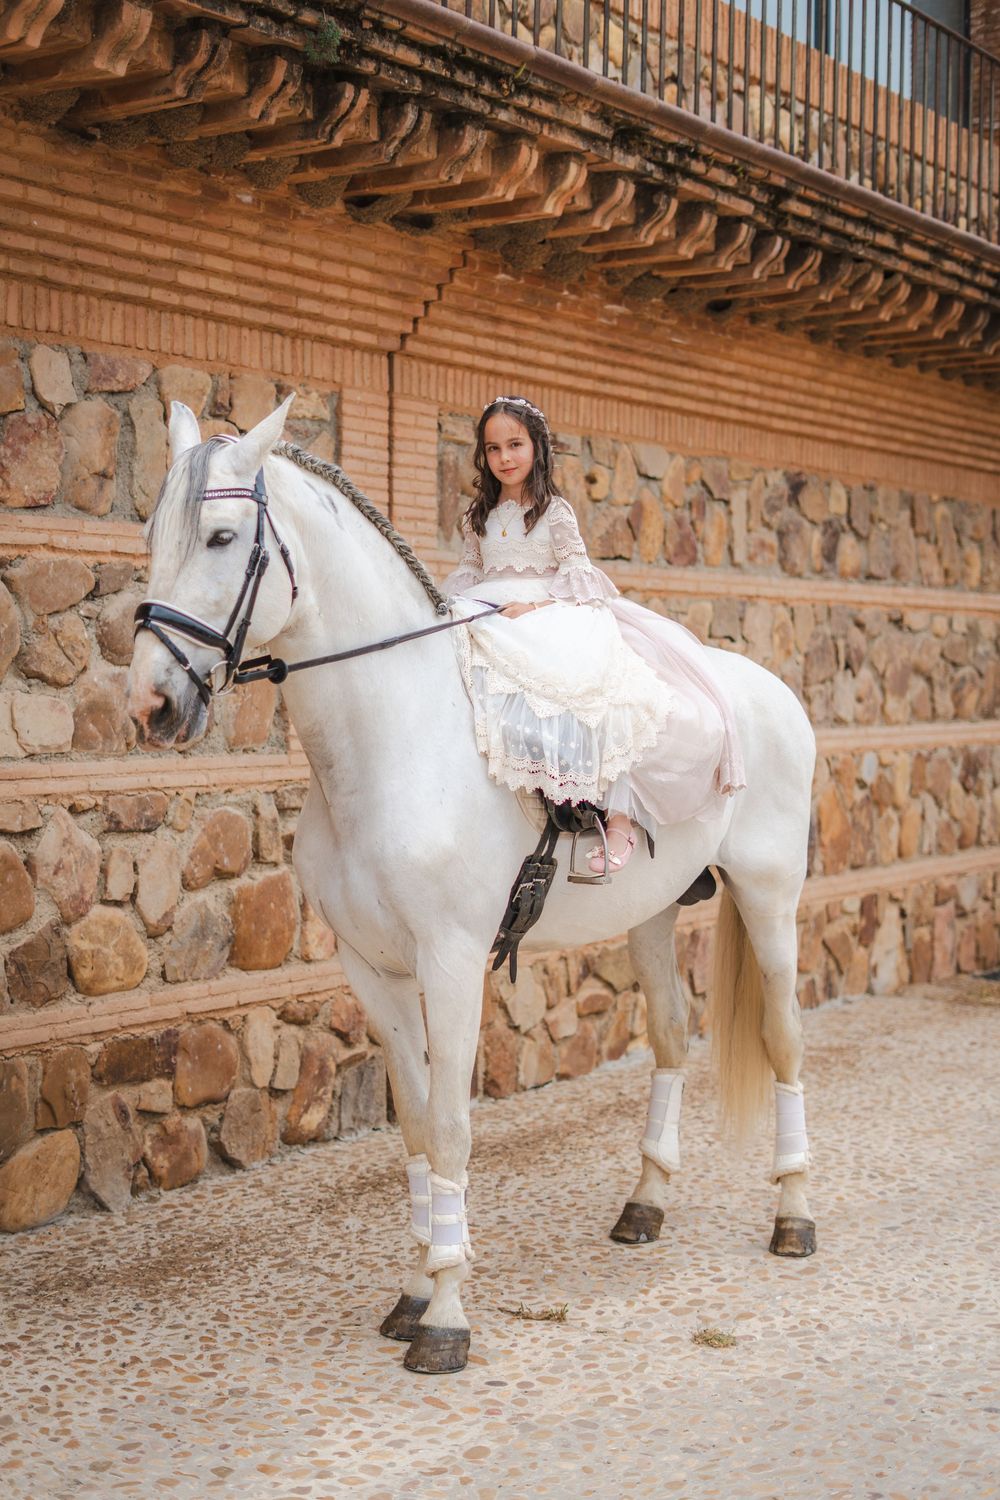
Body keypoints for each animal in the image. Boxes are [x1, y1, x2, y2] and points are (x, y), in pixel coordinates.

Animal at [128, 397, 818, 1376]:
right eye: (154, 535)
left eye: (223, 538)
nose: (150, 706)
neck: (395, 740)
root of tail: (771, 690)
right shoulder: (373, 971)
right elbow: (418, 1125)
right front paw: (417, 1288)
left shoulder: (452, 964)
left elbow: (453, 1124)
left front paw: (448, 1316)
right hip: (652, 912)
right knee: (672, 1038)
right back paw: (646, 1203)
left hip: (769, 896)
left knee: (786, 1040)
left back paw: (794, 1216)